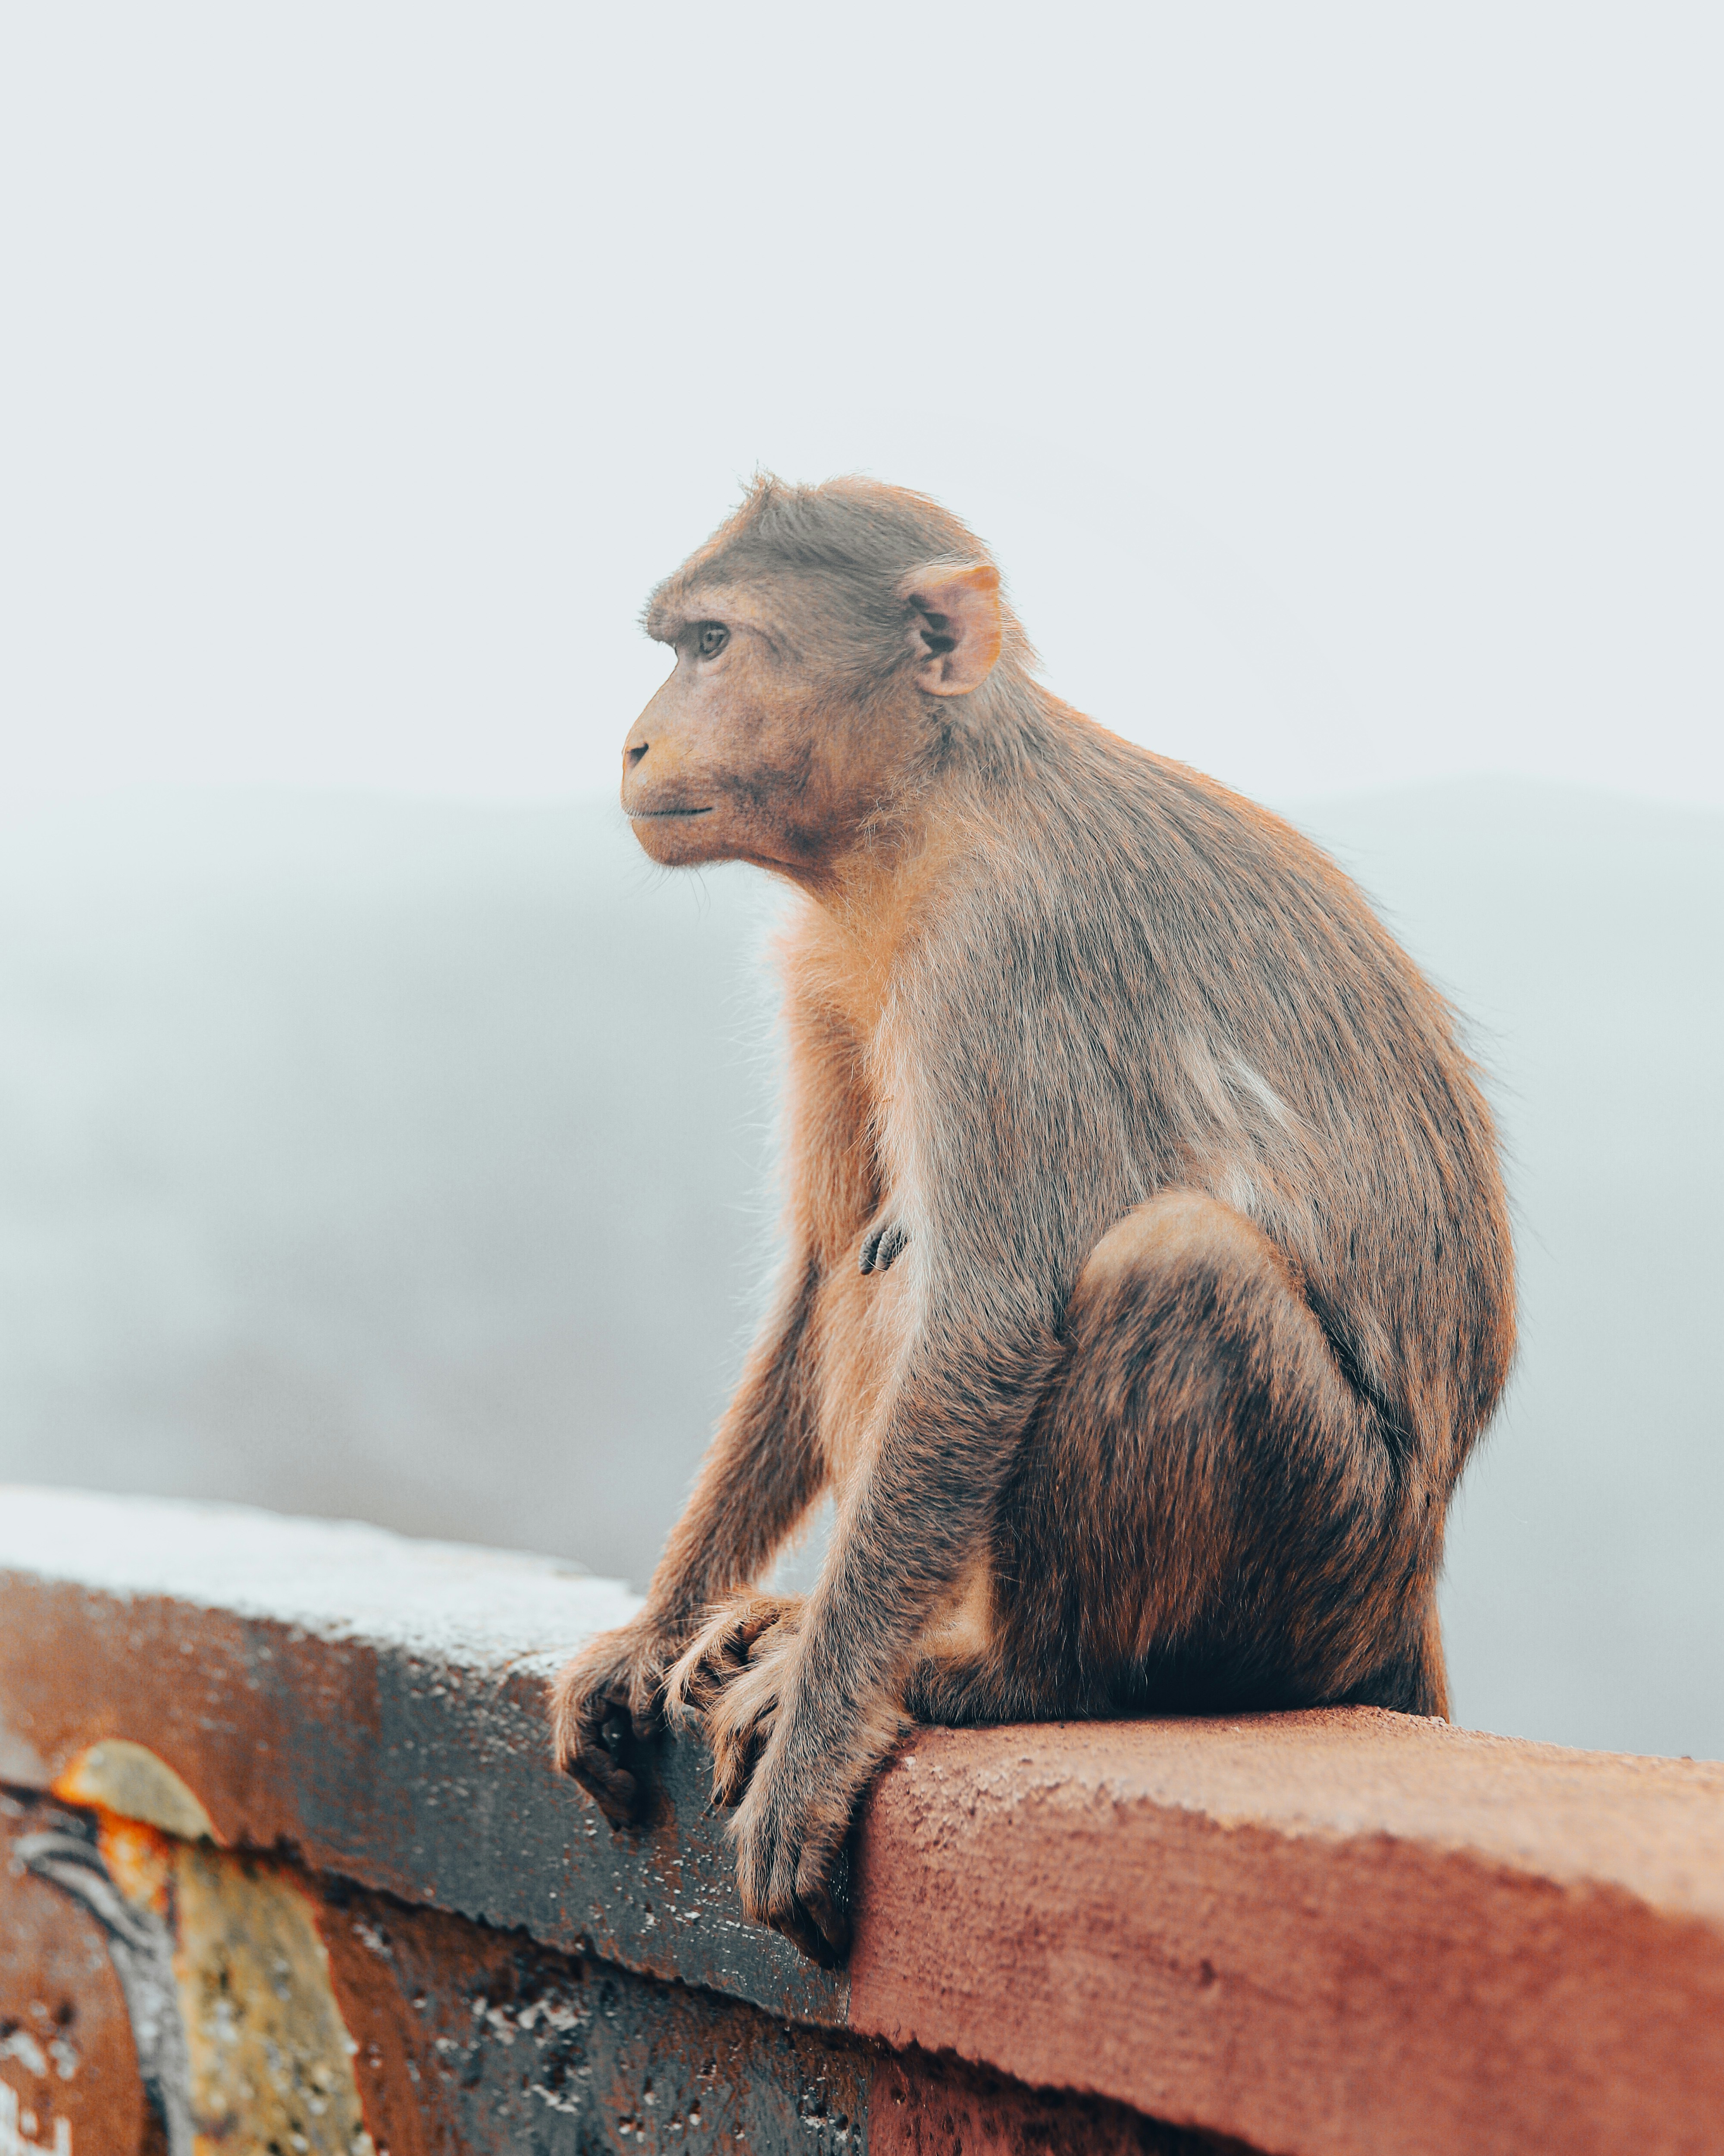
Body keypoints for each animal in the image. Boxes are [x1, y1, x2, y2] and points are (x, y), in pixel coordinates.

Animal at [551, 475, 1515, 1968]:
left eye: (711, 643)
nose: (637, 738)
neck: (928, 807)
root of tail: (1407, 1591)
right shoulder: (826, 956)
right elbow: (823, 1271)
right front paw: (651, 1638)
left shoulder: (998, 948)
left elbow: (989, 1318)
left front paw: (816, 1744)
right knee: (891, 1261)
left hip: (1326, 1558)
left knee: (1173, 1265)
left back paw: (1006, 1671)